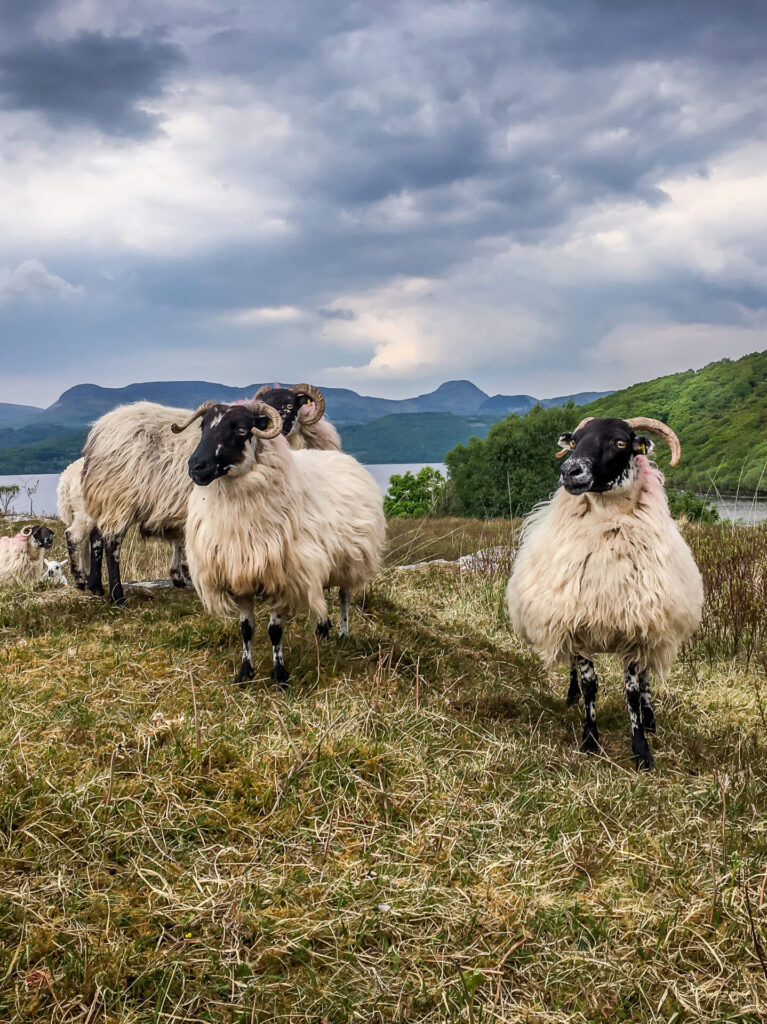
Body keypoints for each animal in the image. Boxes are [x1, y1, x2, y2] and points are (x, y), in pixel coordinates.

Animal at [176, 397, 385, 679]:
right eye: (203, 427)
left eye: (241, 430)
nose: (196, 466)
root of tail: (344, 458)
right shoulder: (239, 574)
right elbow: (247, 629)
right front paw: (245, 672)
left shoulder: (285, 578)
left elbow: (275, 631)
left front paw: (280, 675)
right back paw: (322, 629)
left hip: (350, 560)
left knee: (344, 596)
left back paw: (342, 634)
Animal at [505, 415, 704, 770]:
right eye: (574, 441)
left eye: (620, 442)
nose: (570, 471)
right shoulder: (576, 625)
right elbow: (590, 685)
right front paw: (589, 739)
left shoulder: (637, 629)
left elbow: (633, 691)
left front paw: (642, 750)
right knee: (574, 669)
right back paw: (570, 697)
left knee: (647, 678)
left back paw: (651, 720)